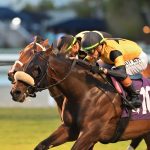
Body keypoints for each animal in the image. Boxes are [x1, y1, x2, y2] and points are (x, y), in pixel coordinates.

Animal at [10, 47, 150, 150]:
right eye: (26, 65)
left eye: (37, 69)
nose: (15, 92)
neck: (86, 92)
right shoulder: (69, 129)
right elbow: (41, 145)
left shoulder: (91, 133)